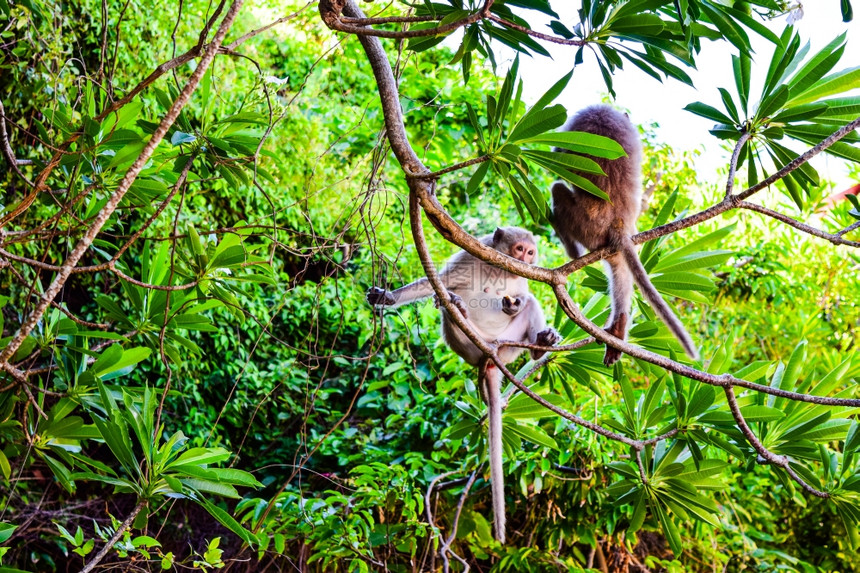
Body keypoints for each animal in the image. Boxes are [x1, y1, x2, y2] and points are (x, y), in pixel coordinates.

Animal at [366, 226, 560, 544]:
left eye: (530, 252)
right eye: (519, 249)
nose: (525, 259)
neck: (499, 269)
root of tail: (490, 355)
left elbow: (523, 295)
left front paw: (515, 305)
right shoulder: (469, 258)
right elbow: (438, 282)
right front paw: (389, 298)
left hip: (510, 346)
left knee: (529, 304)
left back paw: (540, 345)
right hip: (468, 346)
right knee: (443, 300)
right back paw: (459, 310)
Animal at [552, 106, 700, 366]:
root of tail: (618, 224)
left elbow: (561, 156)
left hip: (585, 225)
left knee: (558, 189)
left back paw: (570, 248)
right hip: (607, 240)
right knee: (620, 267)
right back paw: (618, 329)